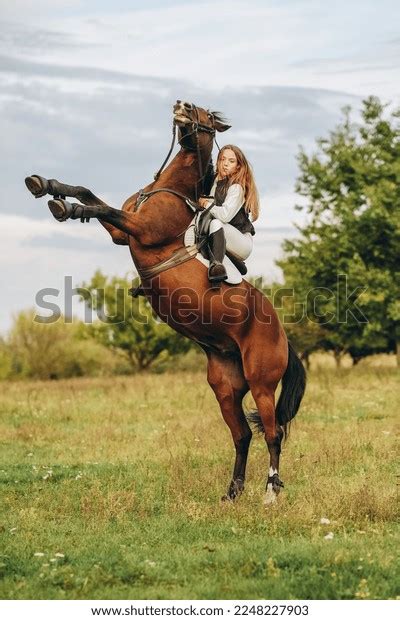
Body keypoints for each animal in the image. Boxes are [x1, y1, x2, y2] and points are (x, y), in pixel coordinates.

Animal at [25, 101, 306, 506]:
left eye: (206, 115)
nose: (181, 106)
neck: (170, 188)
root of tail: (284, 336)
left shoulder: (140, 229)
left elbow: (104, 209)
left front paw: (66, 208)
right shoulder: (121, 233)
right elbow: (90, 194)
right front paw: (48, 187)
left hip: (261, 384)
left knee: (273, 434)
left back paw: (270, 493)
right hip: (225, 387)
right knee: (242, 435)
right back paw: (232, 492)